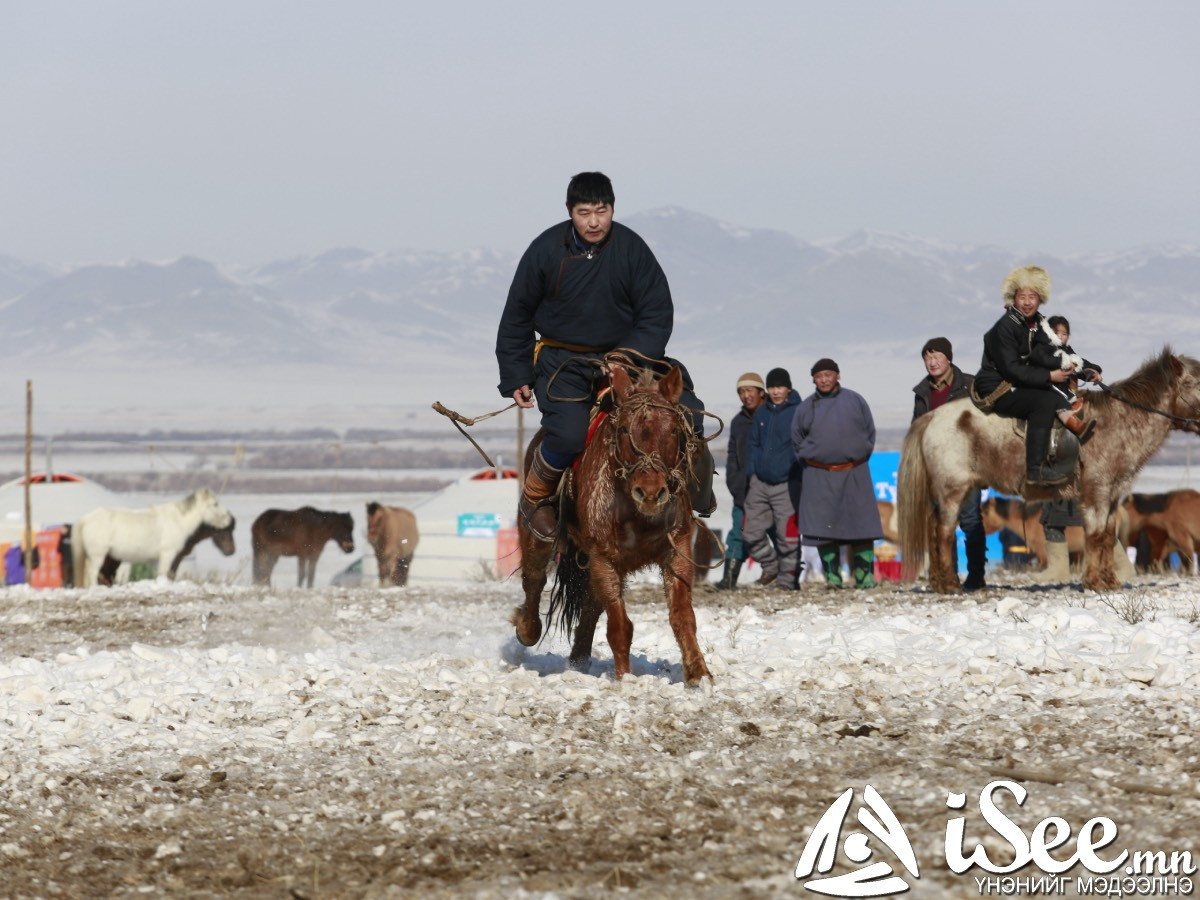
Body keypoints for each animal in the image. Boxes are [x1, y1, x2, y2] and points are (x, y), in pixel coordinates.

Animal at [511, 362, 715, 686]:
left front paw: (699, 674)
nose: (650, 492)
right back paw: (528, 629)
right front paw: (625, 679)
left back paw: (578, 661)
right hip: (536, 535)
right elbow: (620, 625)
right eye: (623, 429)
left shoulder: (678, 550)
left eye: (673, 429)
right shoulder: (603, 557)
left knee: (591, 604)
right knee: (534, 580)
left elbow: (683, 616)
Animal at [902, 348, 1200, 595]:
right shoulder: (1096, 491)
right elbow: (1094, 535)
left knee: (934, 528)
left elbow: (1106, 536)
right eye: (1197, 382)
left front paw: (1109, 581)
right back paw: (950, 585)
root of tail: (931, 417)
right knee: (944, 531)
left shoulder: (1113, 494)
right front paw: (1094, 582)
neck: (1117, 421)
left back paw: (939, 582)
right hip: (952, 490)